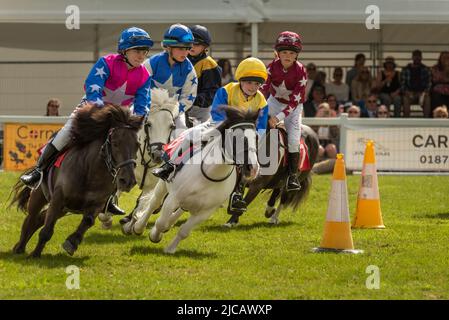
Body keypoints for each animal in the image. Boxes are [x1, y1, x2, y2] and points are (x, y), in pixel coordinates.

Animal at [10, 105, 140, 258]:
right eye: (115, 143)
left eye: (137, 145)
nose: (128, 180)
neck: (91, 173)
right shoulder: (58, 198)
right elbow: (47, 230)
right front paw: (35, 254)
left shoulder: (97, 204)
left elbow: (88, 221)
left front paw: (72, 242)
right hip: (39, 196)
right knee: (30, 219)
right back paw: (20, 247)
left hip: (64, 209)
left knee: (39, 219)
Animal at [99, 87, 179, 228]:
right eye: (149, 124)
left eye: (172, 126)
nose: (158, 155)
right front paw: (107, 217)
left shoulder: (150, 186)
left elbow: (143, 202)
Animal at [122, 107, 260, 252]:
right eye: (236, 138)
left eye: (256, 137)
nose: (253, 168)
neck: (210, 175)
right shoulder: (173, 198)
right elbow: (160, 222)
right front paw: (154, 235)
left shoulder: (206, 212)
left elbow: (184, 231)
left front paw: (170, 249)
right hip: (163, 185)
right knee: (154, 202)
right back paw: (137, 227)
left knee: (181, 209)